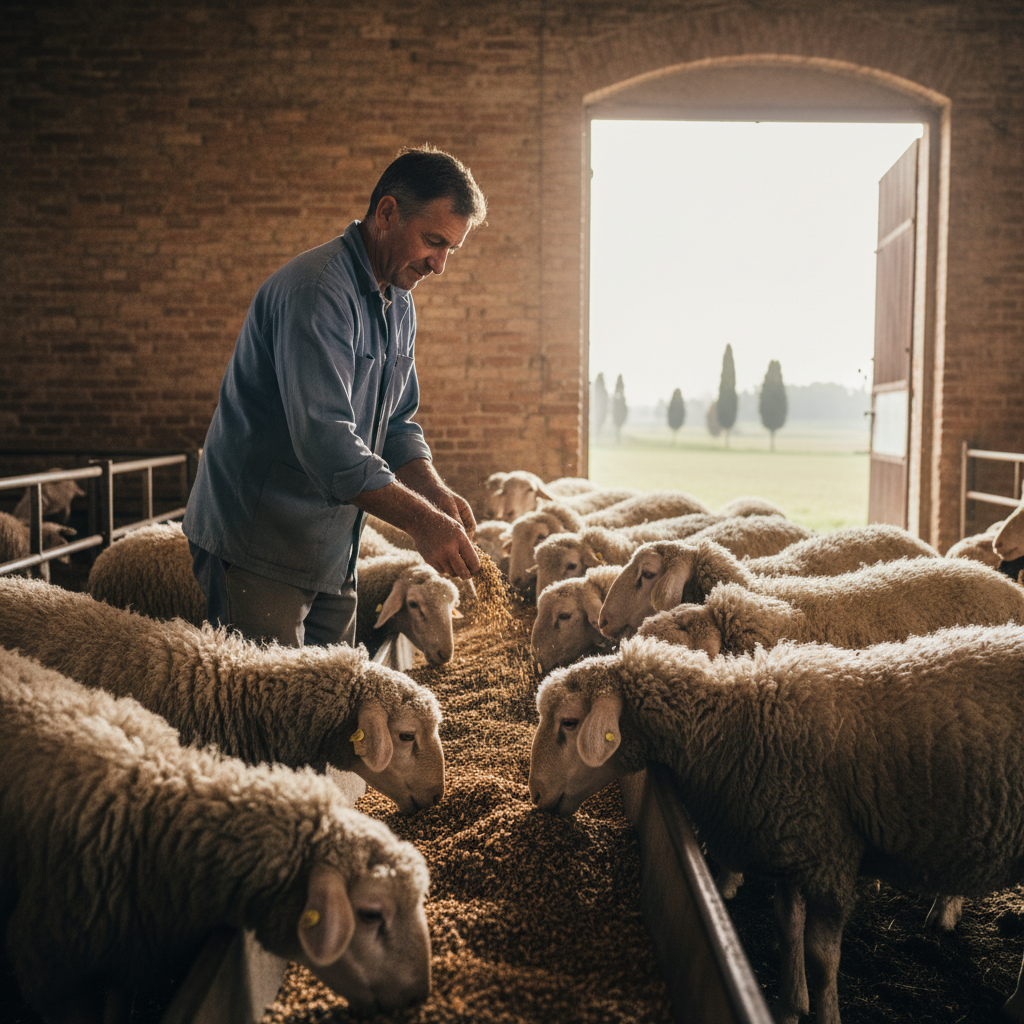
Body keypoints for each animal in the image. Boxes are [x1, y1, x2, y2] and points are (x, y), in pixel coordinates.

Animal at [528, 626, 1024, 1024]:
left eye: (569, 722)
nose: (534, 795)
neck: (736, 722)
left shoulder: (829, 858)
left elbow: (822, 959)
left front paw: (825, 1015)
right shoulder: (791, 844)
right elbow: (788, 930)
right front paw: (789, 1006)